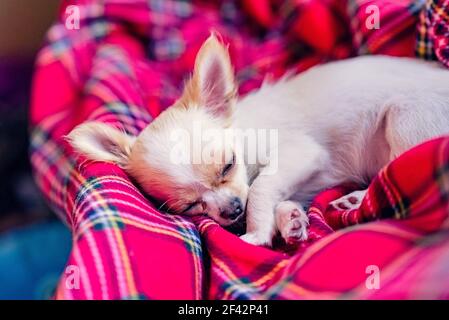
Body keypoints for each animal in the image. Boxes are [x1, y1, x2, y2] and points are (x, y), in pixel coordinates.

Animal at [66, 33, 448, 246]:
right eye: (190, 207)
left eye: (228, 166)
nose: (231, 209)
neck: (245, 132)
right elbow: (277, 197)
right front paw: (290, 221)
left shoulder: (302, 153)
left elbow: (262, 186)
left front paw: (256, 231)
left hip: (404, 118)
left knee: (398, 166)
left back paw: (356, 199)